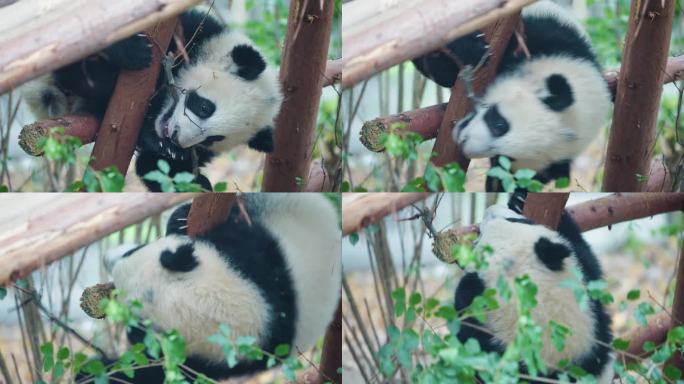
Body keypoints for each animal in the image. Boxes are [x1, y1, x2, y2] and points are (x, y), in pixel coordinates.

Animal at [20, 7, 284, 190]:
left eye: (214, 139)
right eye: (204, 106)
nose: (175, 137)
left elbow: (152, 165)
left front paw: (186, 171)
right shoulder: (192, 31)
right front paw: (132, 52)